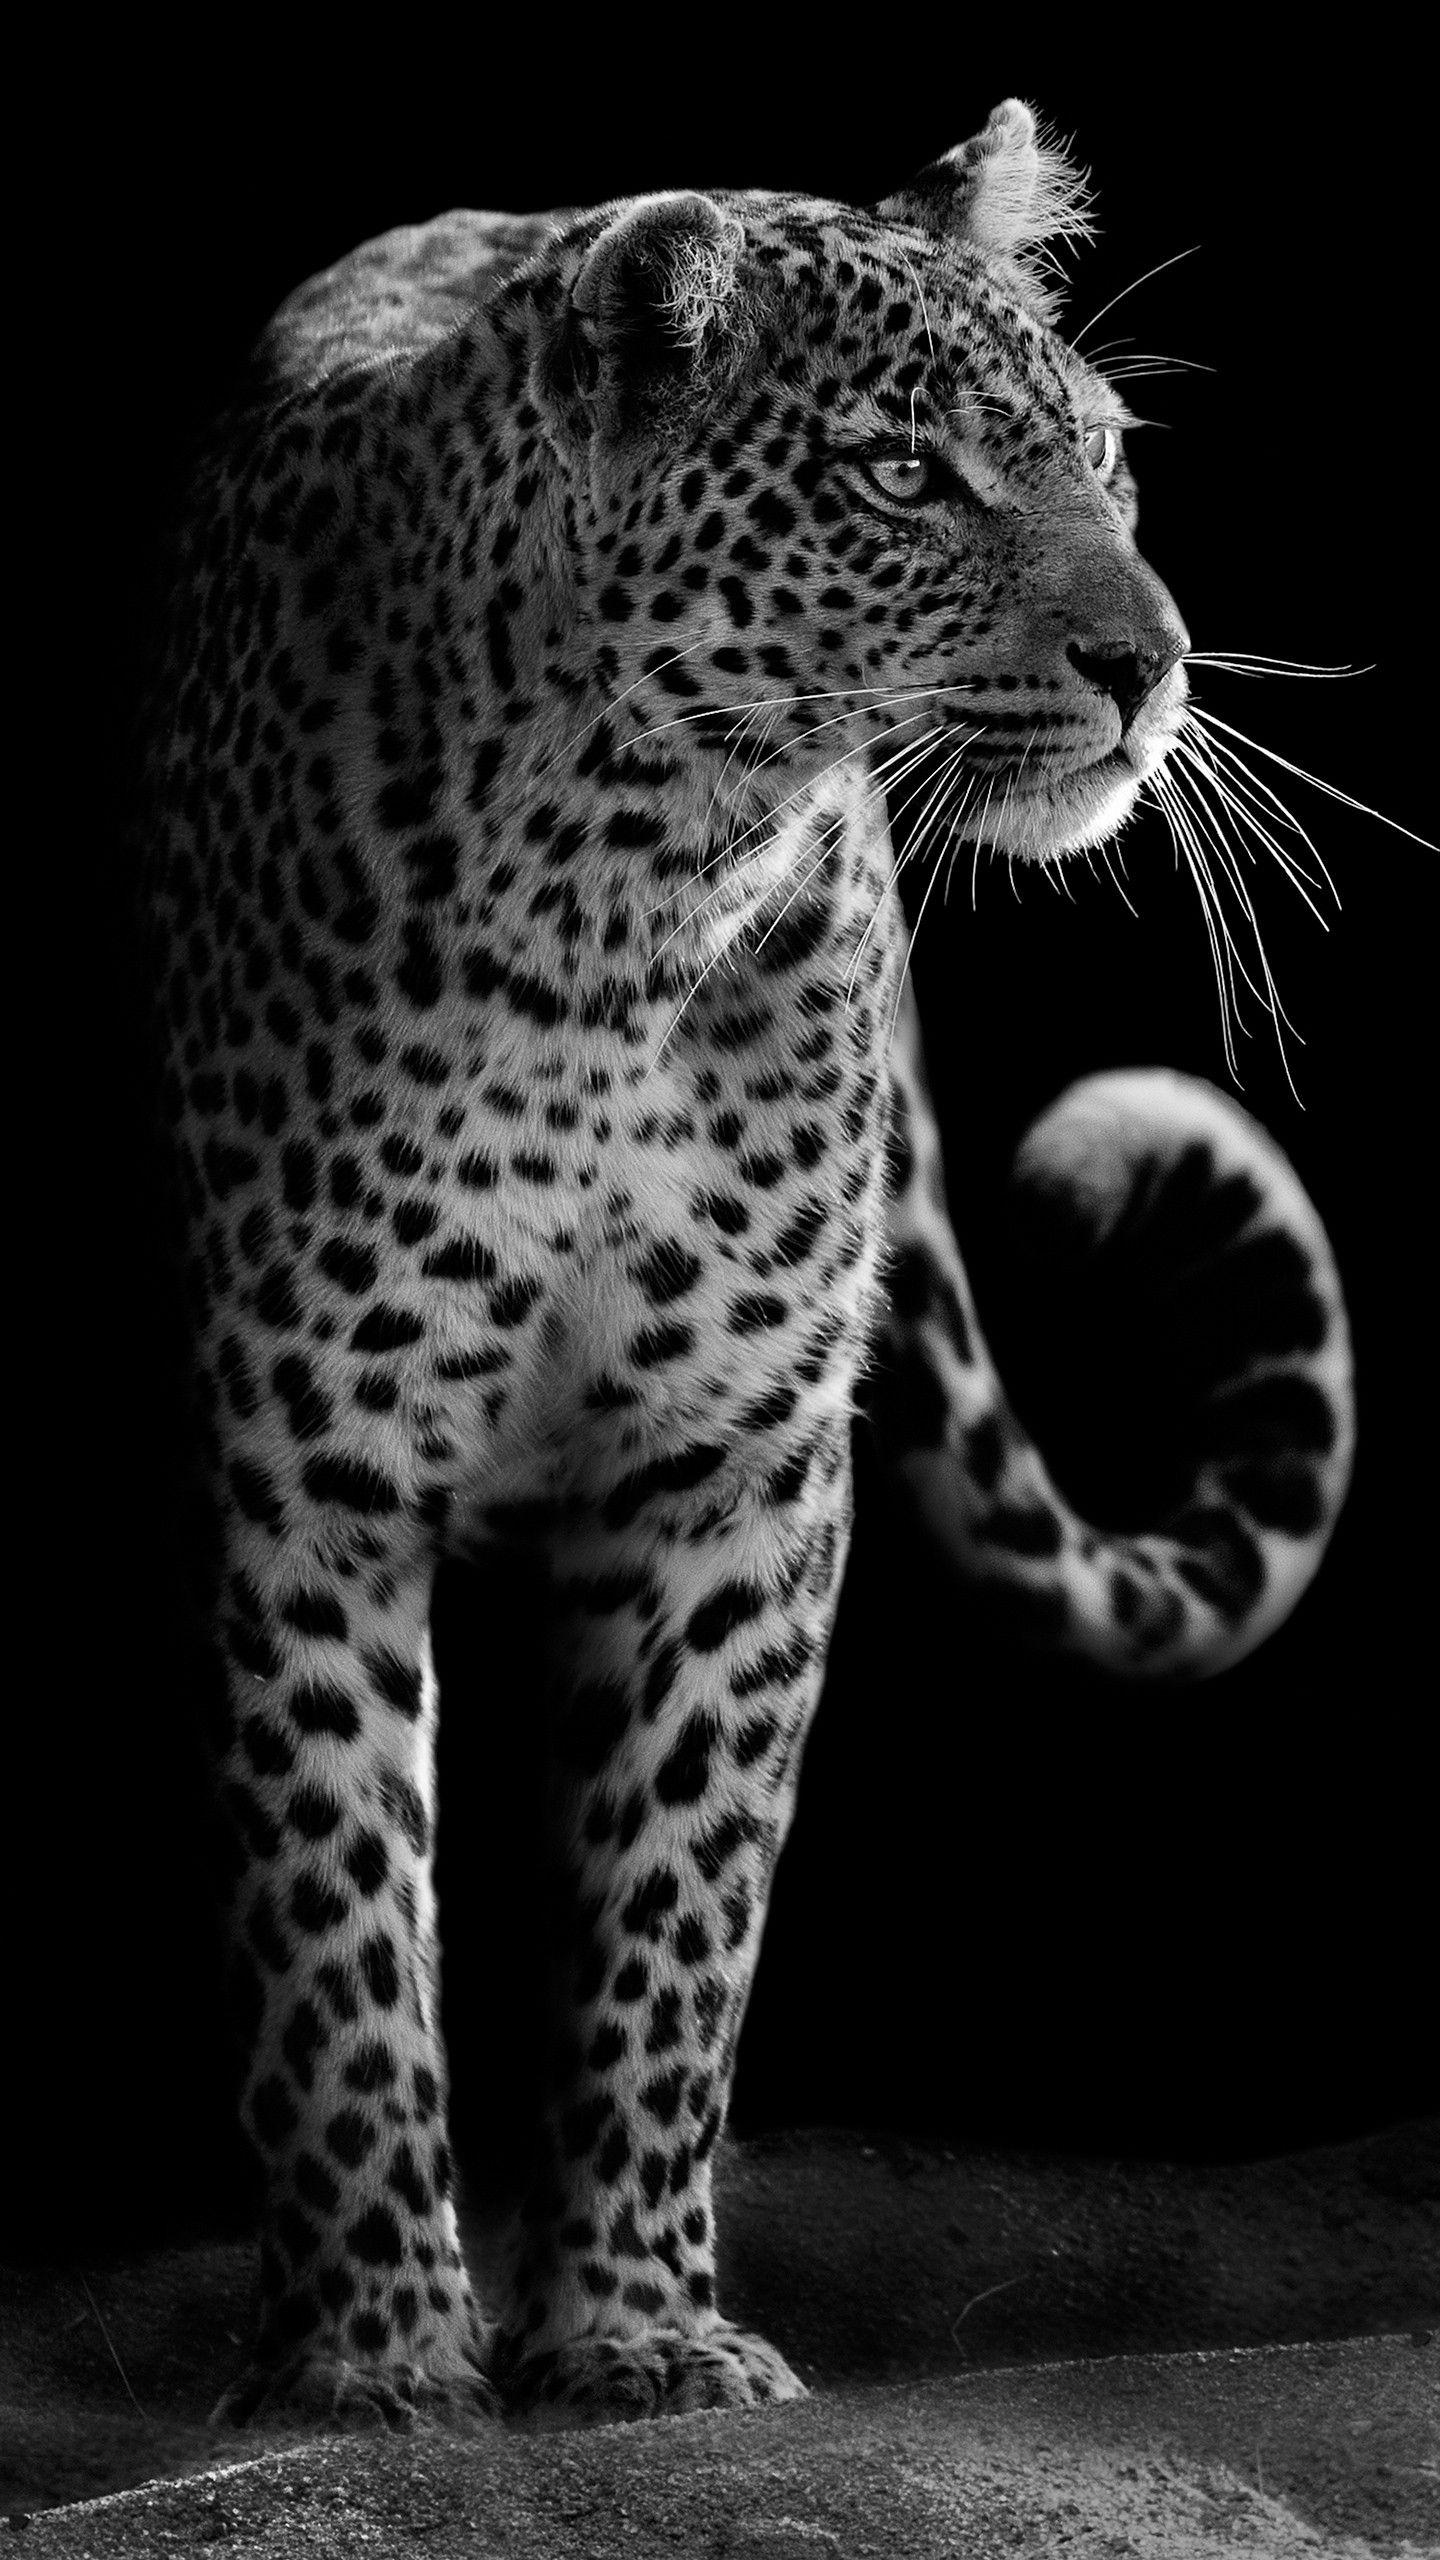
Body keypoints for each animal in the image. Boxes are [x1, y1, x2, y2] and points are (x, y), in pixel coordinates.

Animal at [142, 98, 1355, 2430]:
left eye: (1102, 453)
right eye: (904, 474)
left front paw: (631, 2323)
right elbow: (335, 1904)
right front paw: (372, 2351)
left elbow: (675, 1905)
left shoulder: (737, 1463)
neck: (627, 879)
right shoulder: (311, 1454)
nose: (1151, 664)